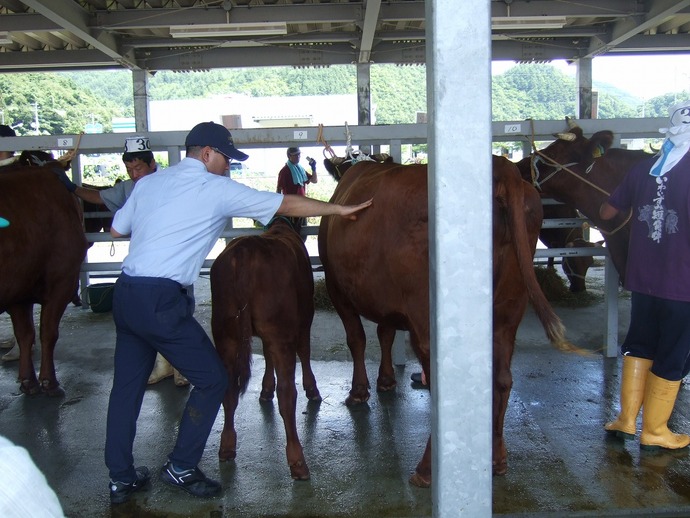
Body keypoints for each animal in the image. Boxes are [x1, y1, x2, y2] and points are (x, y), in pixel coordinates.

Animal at [0, 169, 88, 396]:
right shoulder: (62, 281)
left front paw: (30, 380)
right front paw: (48, 381)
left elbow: (27, 334)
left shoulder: (19, 291)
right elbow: (47, 332)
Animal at [208, 217, 322, 482]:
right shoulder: (305, 318)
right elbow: (305, 351)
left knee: (228, 389)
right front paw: (312, 388)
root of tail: (244, 251)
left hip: (225, 334)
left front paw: (265, 388)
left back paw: (227, 446)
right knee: (287, 395)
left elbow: (267, 356)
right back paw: (297, 460)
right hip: (280, 332)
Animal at [318, 156, 576, 490]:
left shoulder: (338, 290)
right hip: (509, 312)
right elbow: (385, 332)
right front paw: (386, 380)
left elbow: (358, 339)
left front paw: (359, 391)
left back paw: (427, 469)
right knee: (502, 379)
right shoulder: (387, 301)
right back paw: (496, 458)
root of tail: (501, 166)